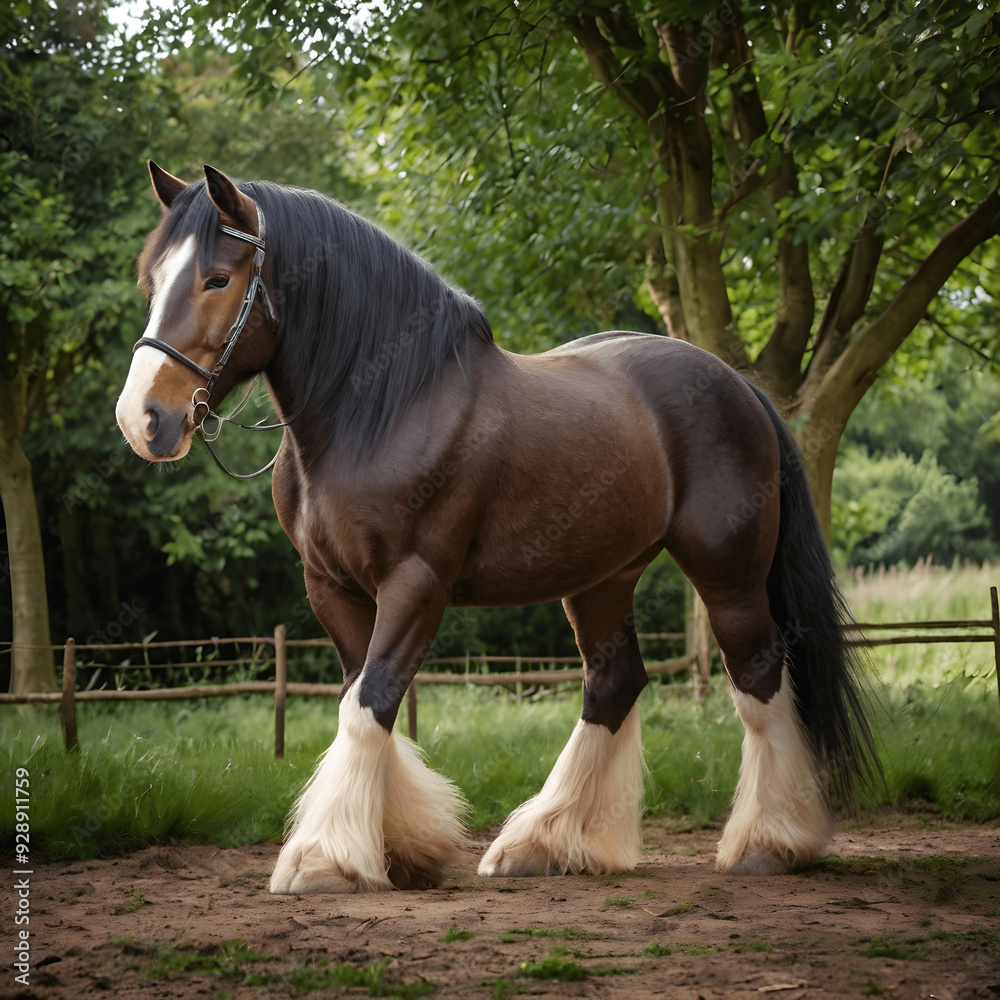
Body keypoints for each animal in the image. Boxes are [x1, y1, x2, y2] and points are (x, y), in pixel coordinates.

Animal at [116, 162, 876, 893]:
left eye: (218, 278)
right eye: (152, 279)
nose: (143, 418)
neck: (385, 408)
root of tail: (740, 385)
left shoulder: (416, 583)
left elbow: (370, 702)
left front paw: (326, 861)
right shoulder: (331, 588)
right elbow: (360, 698)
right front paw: (401, 849)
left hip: (729, 575)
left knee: (758, 676)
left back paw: (769, 842)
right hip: (603, 577)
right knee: (615, 682)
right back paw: (547, 844)